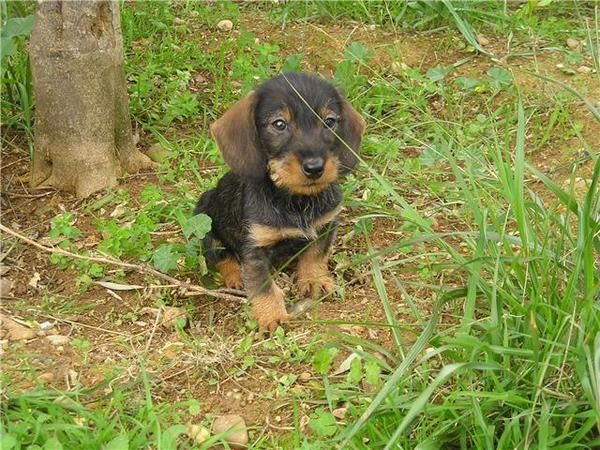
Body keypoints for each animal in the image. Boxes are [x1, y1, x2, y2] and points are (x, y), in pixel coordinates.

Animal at [196, 73, 366, 330]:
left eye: (329, 121)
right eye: (279, 124)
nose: (315, 167)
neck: (295, 201)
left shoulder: (326, 226)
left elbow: (315, 255)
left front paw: (314, 280)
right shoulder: (255, 249)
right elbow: (264, 287)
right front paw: (271, 316)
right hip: (206, 220)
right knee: (220, 256)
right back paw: (235, 277)